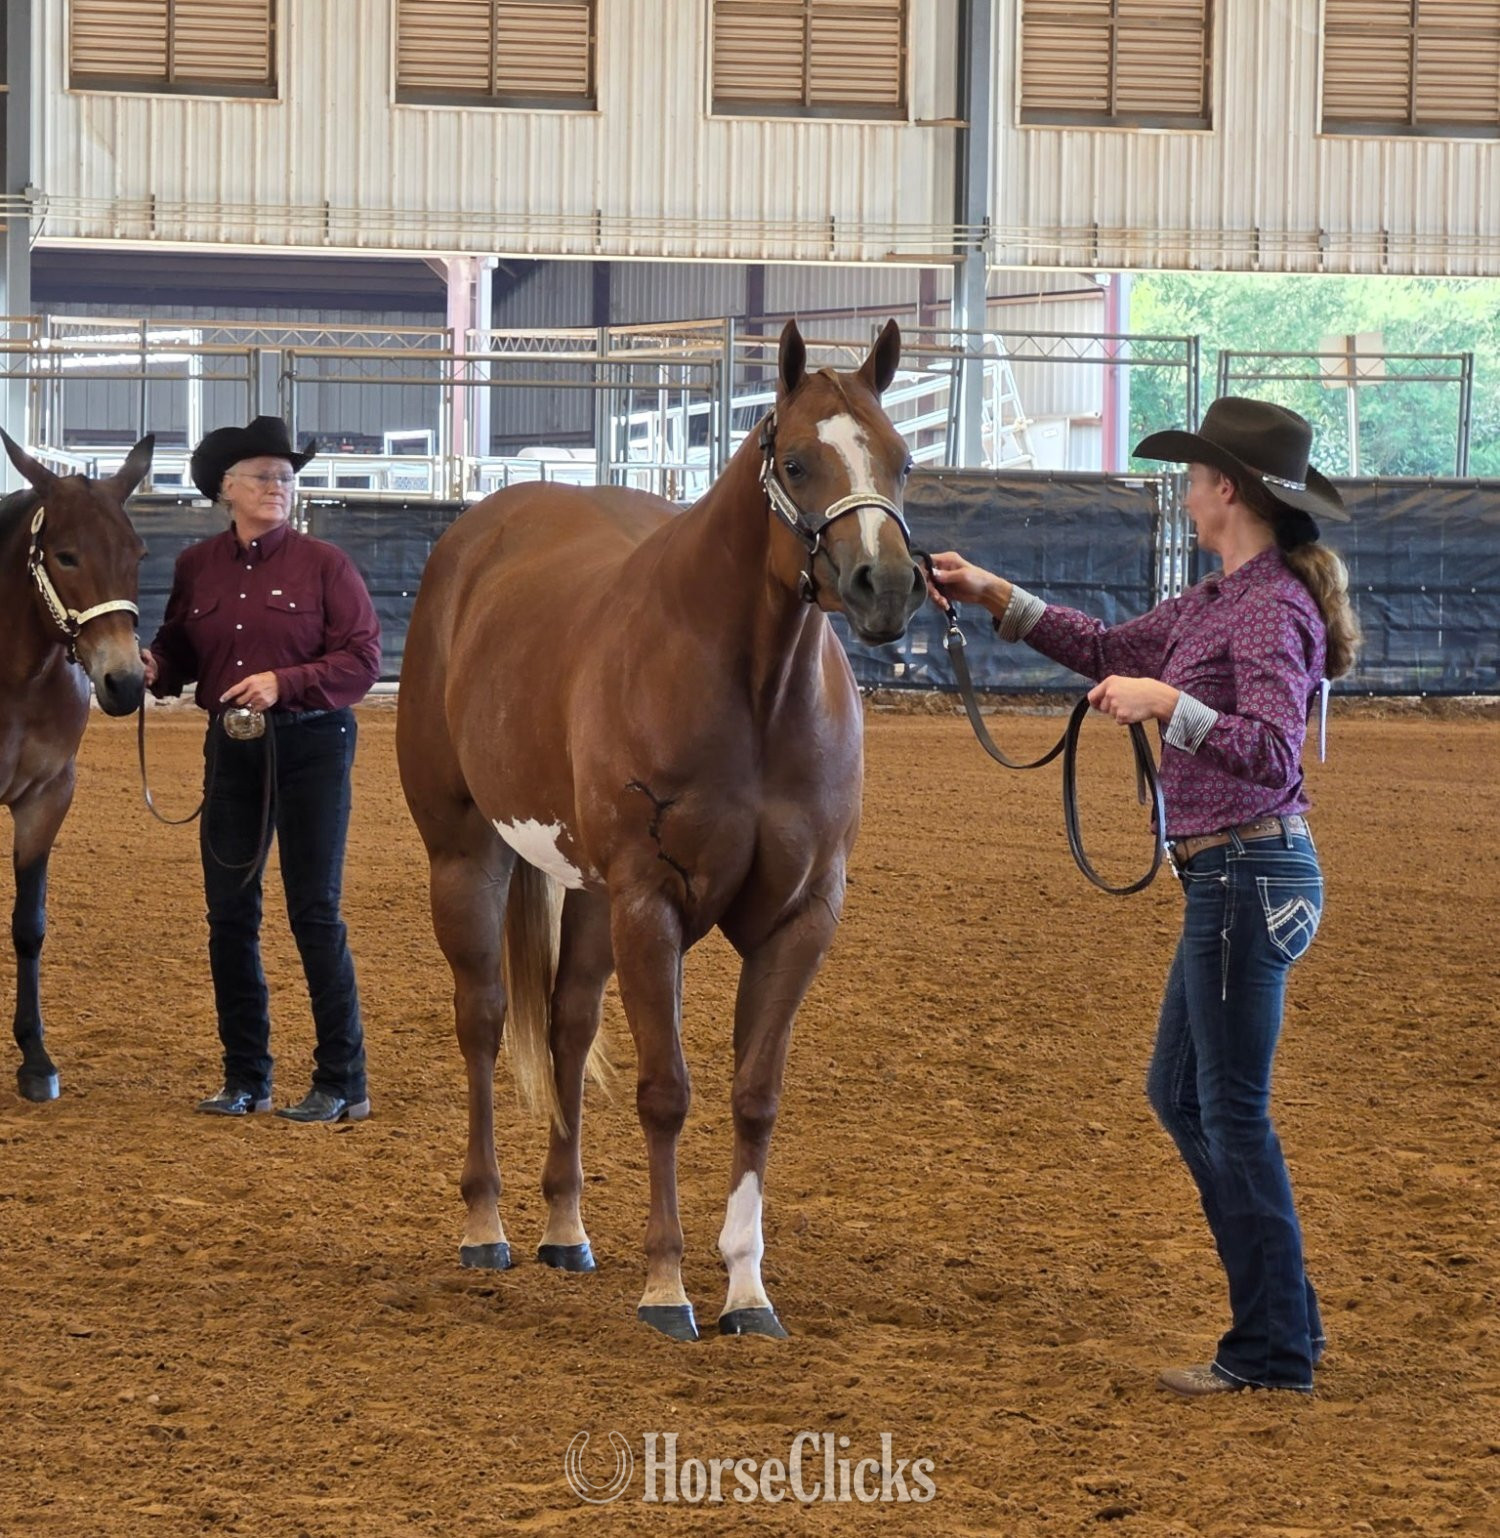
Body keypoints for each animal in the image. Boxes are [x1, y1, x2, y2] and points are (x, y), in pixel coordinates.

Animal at [397, 320, 925, 1340]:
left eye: (901, 459)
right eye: (796, 463)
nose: (884, 585)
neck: (753, 694)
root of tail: (474, 539)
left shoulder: (798, 920)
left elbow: (754, 1096)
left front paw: (748, 1292)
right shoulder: (653, 904)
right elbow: (666, 1093)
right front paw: (668, 1286)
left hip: (590, 894)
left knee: (566, 1027)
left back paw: (565, 1229)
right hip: (468, 856)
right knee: (484, 1020)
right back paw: (486, 1226)